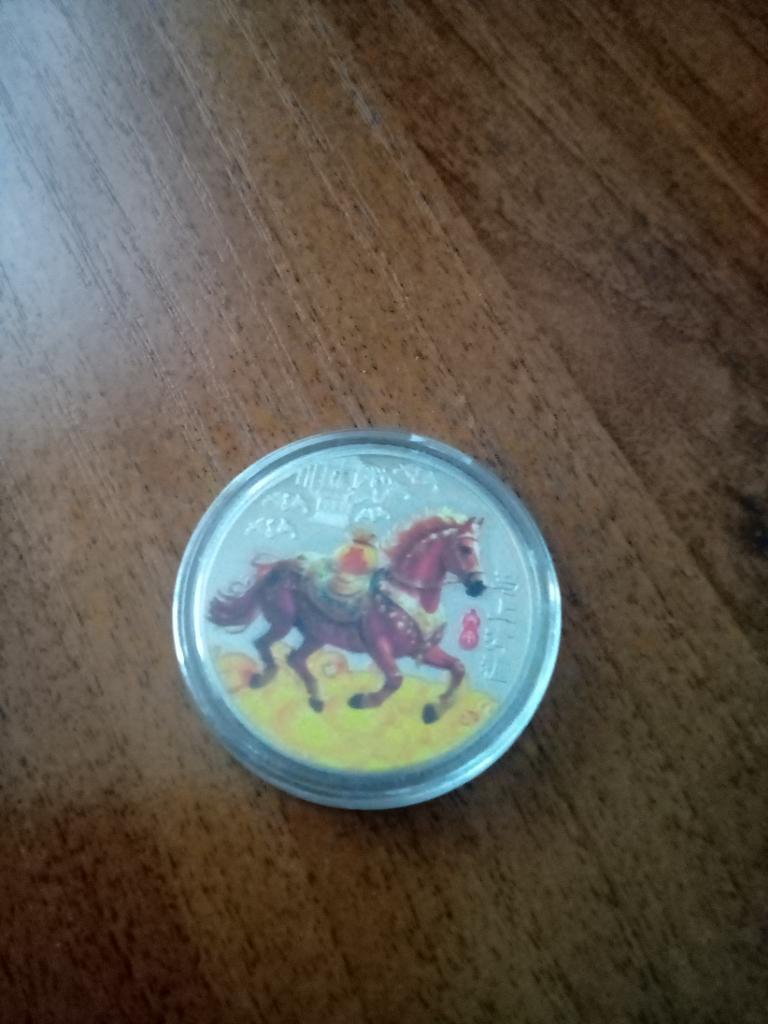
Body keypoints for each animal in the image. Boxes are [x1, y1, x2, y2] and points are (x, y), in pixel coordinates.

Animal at [208, 514, 486, 724]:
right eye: (464, 548)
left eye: (478, 549)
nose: (478, 587)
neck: (411, 595)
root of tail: (279, 566)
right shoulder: (378, 646)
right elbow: (395, 679)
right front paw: (362, 700)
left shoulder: (423, 649)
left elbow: (458, 667)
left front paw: (434, 710)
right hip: (282, 622)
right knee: (262, 644)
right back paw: (263, 678)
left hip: (316, 635)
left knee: (295, 658)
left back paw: (317, 699)